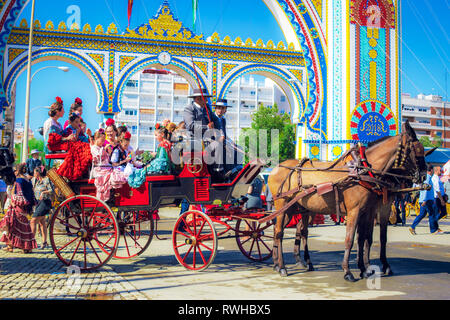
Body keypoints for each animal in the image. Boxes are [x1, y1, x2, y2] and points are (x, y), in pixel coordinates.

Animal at [268, 121, 428, 282]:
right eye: (417, 151)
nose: (424, 175)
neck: (363, 171)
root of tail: (276, 168)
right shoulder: (355, 211)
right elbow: (350, 239)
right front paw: (348, 271)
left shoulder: (367, 211)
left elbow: (363, 238)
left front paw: (364, 269)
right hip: (282, 205)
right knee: (280, 232)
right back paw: (282, 267)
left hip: (294, 209)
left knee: (286, 230)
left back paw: (280, 264)